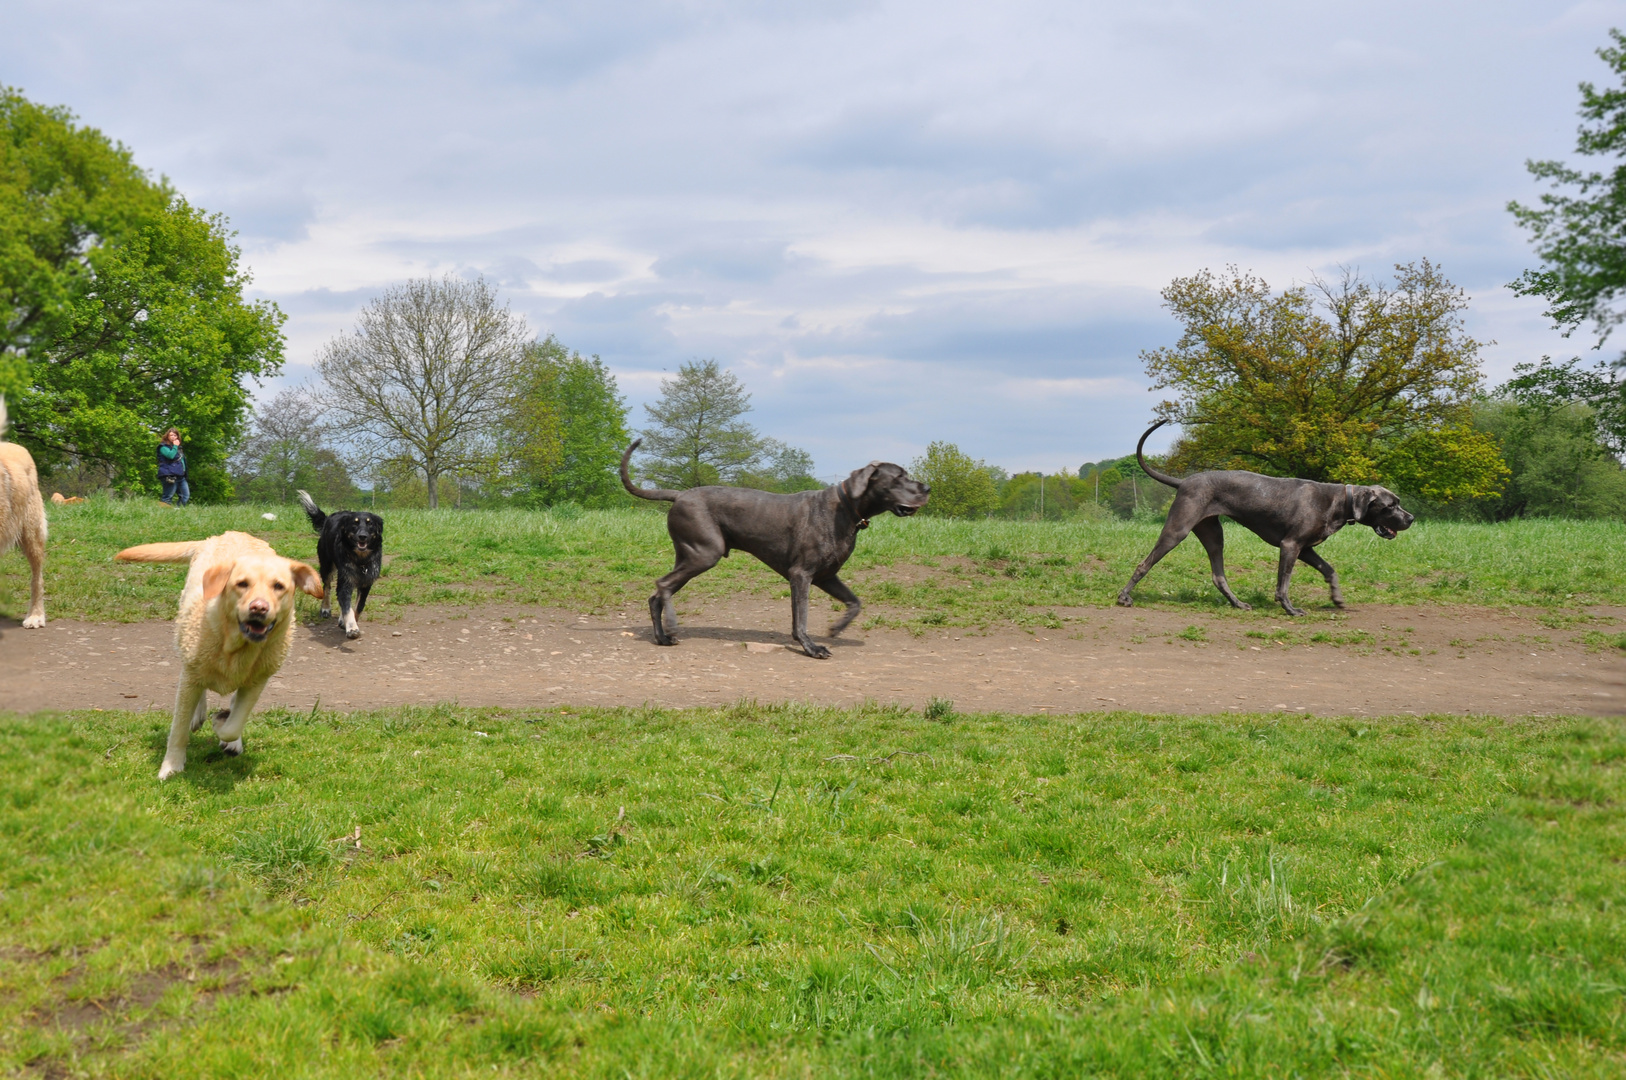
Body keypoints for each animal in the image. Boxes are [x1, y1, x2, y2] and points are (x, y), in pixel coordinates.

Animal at [117, 530, 320, 777]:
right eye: (242, 584)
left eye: (279, 586)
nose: (259, 608)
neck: (236, 647)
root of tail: (230, 534)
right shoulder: (192, 673)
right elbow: (179, 730)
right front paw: (172, 766)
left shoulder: (256, 682)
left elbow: (234, 725)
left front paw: (225, 728)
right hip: (186, 646)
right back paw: (198, 714)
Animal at [297, 491, 382, 637]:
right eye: (355, 524)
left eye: (370, 524)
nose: (362, 536)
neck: (360, 560)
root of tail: (328, 519)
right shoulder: (345, 581)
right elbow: (347, 607)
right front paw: (352, 627)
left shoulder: (366, 582)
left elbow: (358, 606)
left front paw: (349, 622)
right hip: (326, 565)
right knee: (326, 587)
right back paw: (325, 608)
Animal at [621, 442, 930, 657]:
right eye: (899, 477)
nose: (927, 487)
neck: (846, 509)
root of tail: (679, 494)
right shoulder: (801, 574)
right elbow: (800, 617)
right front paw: (811, 647)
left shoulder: (827, 576)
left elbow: (855, 602)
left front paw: (836, 629)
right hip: (704, 553)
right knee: (662, 585)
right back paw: (672, 626)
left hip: (688, 556)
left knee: (657, 595)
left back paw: (662, 637)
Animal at [1118, 419, 1411, 614]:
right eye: (1390, 505)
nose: (1411, 518)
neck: (1340, 501)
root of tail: (1183, 482)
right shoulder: (1290, 545)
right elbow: (1284, 582)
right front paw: (1290, 609)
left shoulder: (1305, 549)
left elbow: (1329, 569)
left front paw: (1337, 599)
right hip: (1177, 530)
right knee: (1144, 564)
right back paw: (1123, 597)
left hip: (1213, 534)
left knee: (1218, 576)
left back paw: (1237, 603)